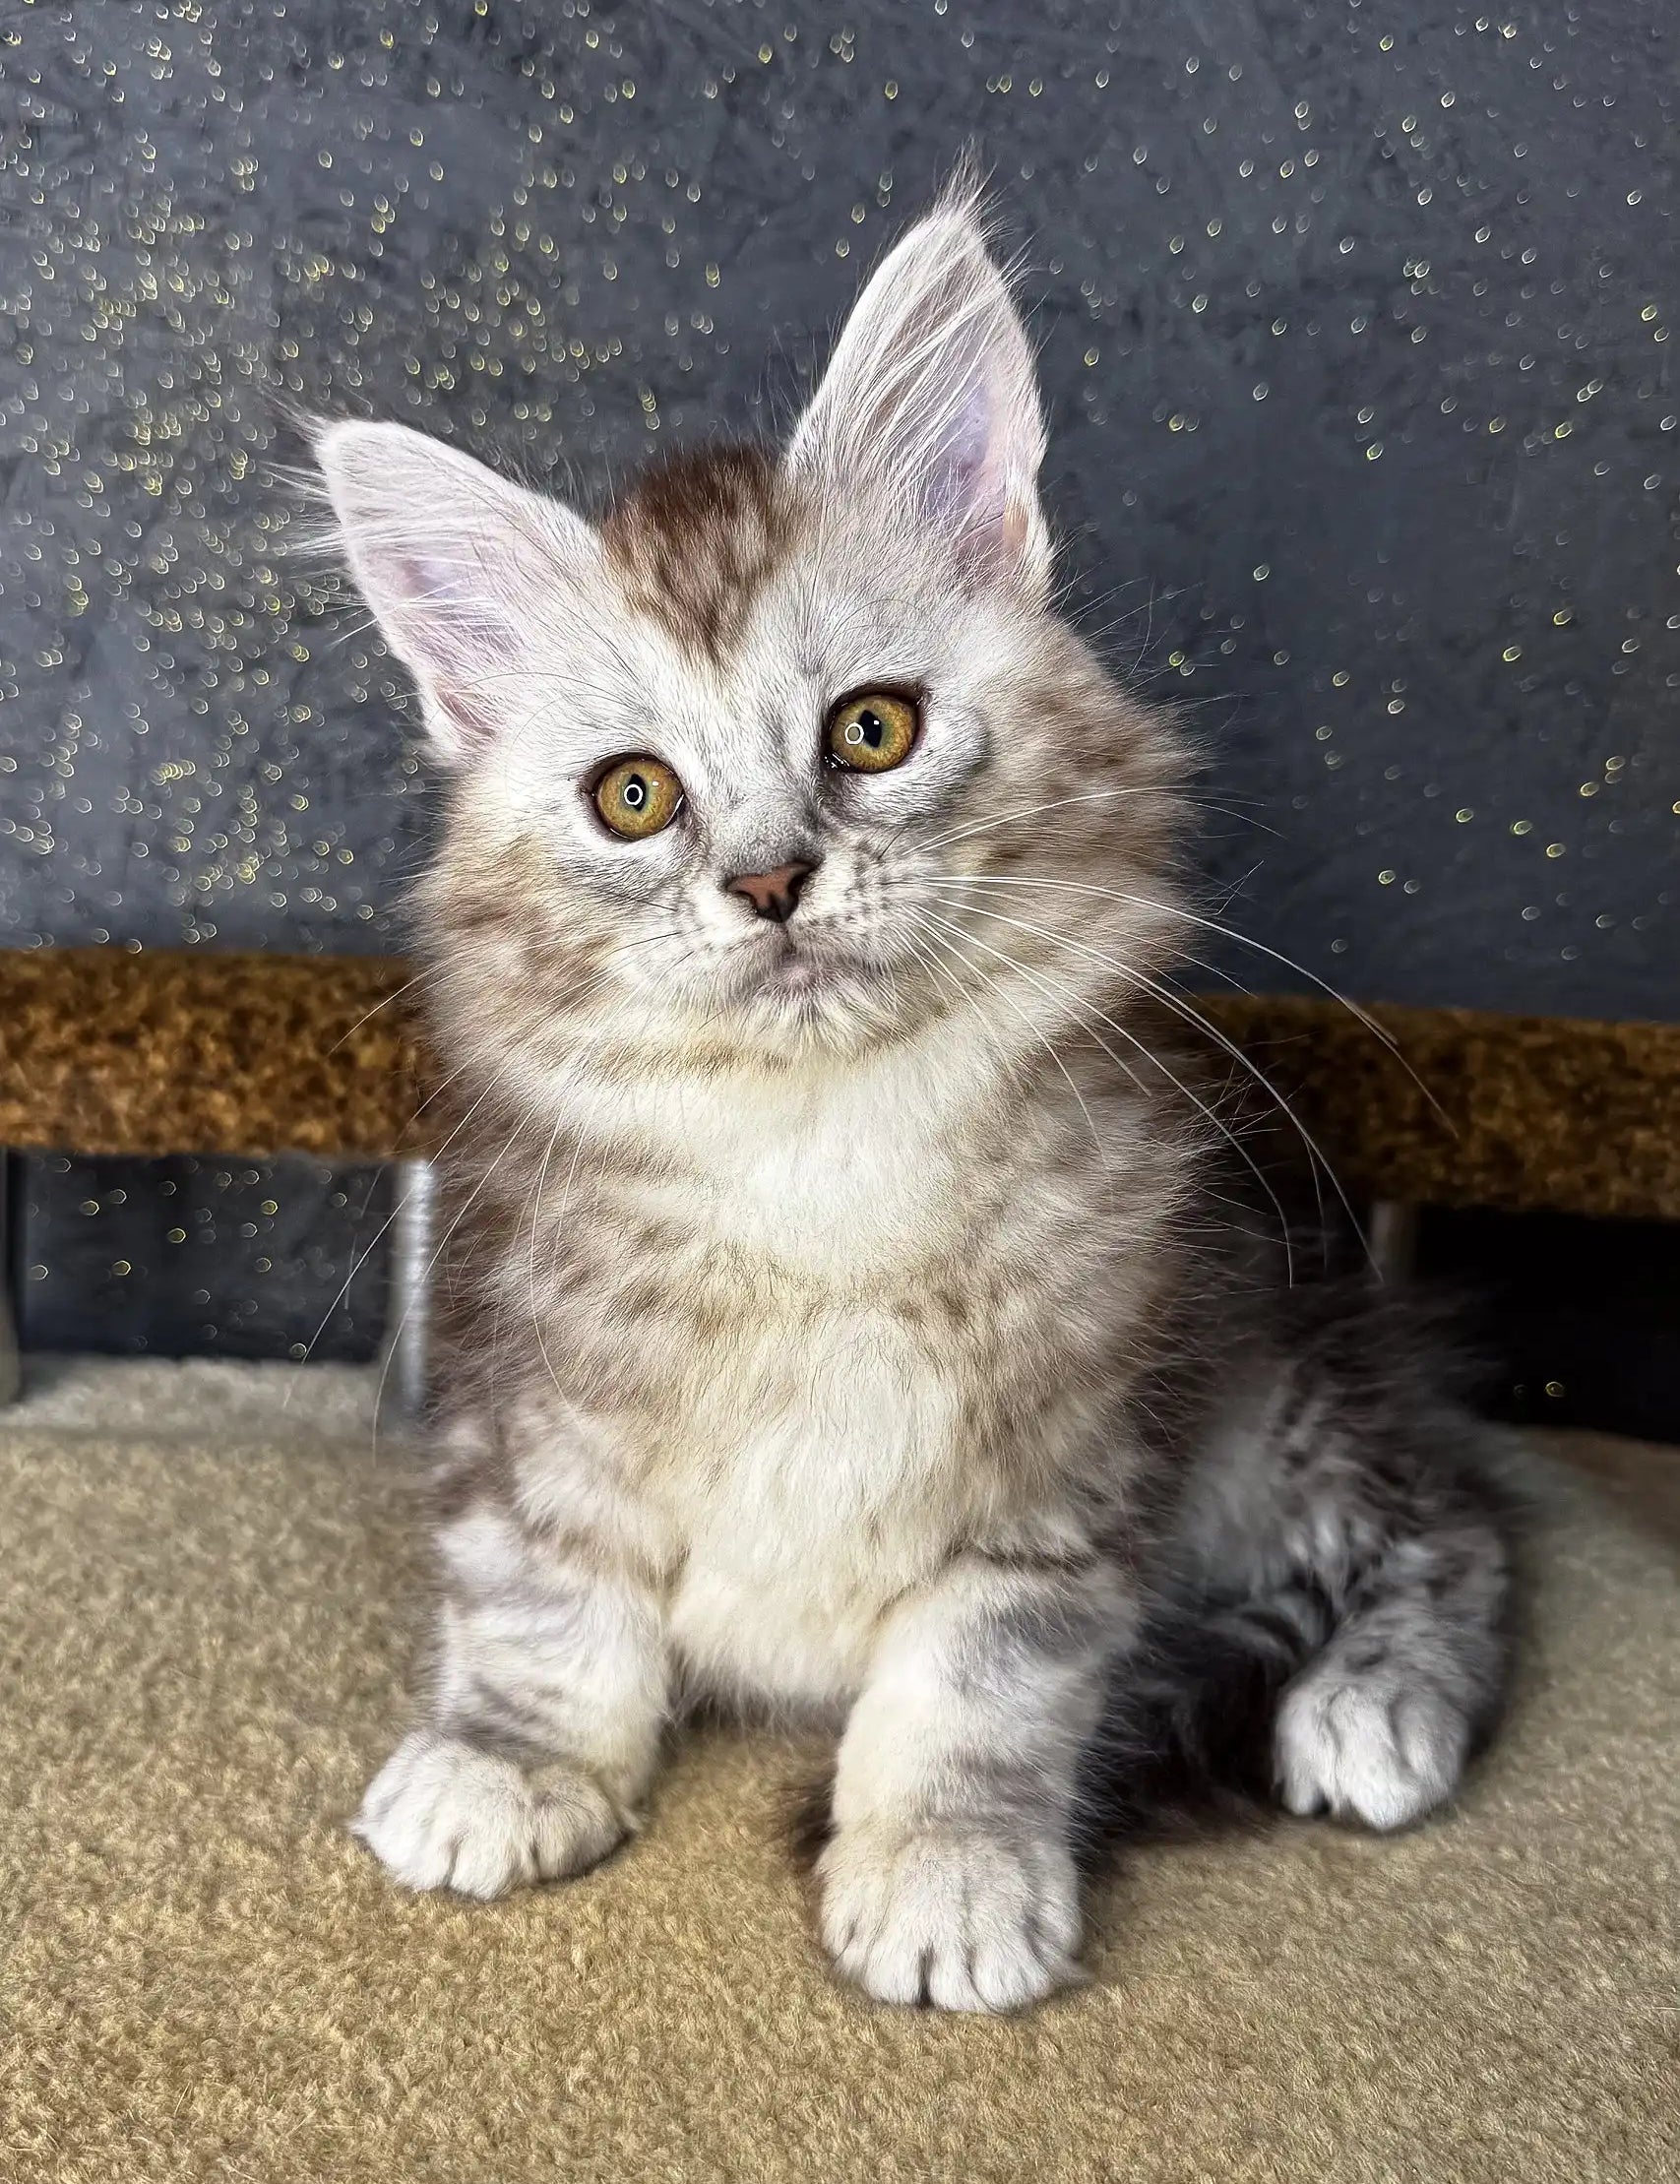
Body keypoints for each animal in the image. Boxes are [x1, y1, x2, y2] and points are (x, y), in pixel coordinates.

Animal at [321, 183, 1512, 2009]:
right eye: (632, 795)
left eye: (870, 728)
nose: (766, 879)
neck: (820, 1147)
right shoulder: (534, 1387)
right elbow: (541, 1598)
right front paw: (512, 1759)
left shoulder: (1069, 1454)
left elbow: (976, 1686)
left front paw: (946, 1870)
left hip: (1270, 1385)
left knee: (1456, 1515)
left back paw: (1375, 1700)